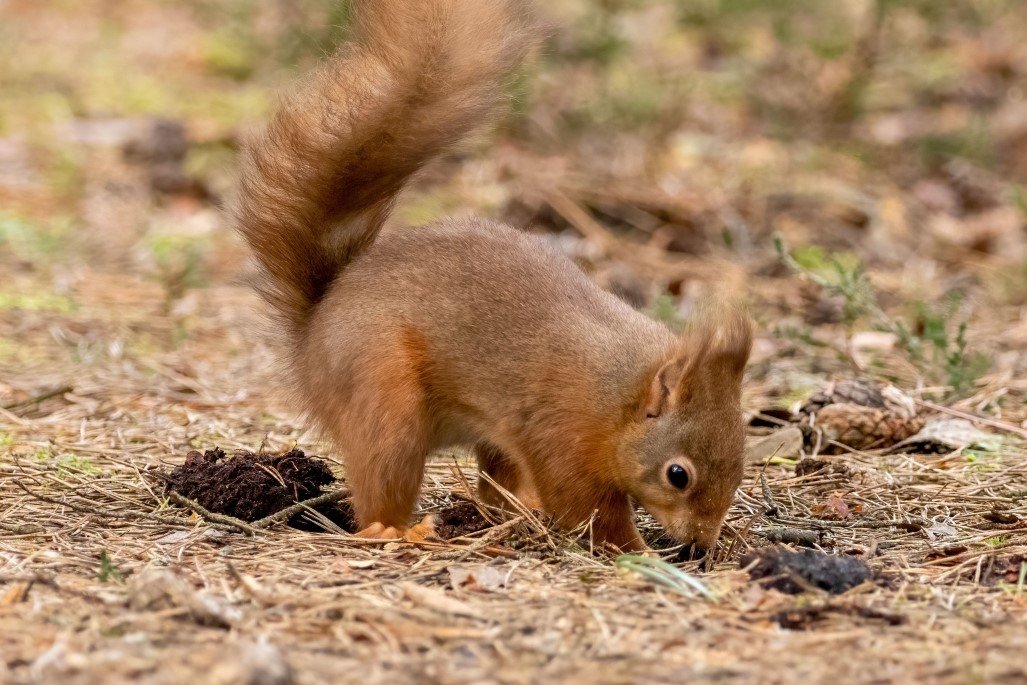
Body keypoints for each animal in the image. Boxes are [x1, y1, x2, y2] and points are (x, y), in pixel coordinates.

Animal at [231, 0, 753, 553]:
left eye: (742, 459)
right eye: (678, 475)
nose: (702, 543)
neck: (617, 392)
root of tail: (314, 329)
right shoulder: (560, 429)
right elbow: (586, 507)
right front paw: (633, 551)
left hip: (483, 433)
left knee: (495, 483)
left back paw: (518, 510)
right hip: (380, 392)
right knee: (382, 475)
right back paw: (398, 530)